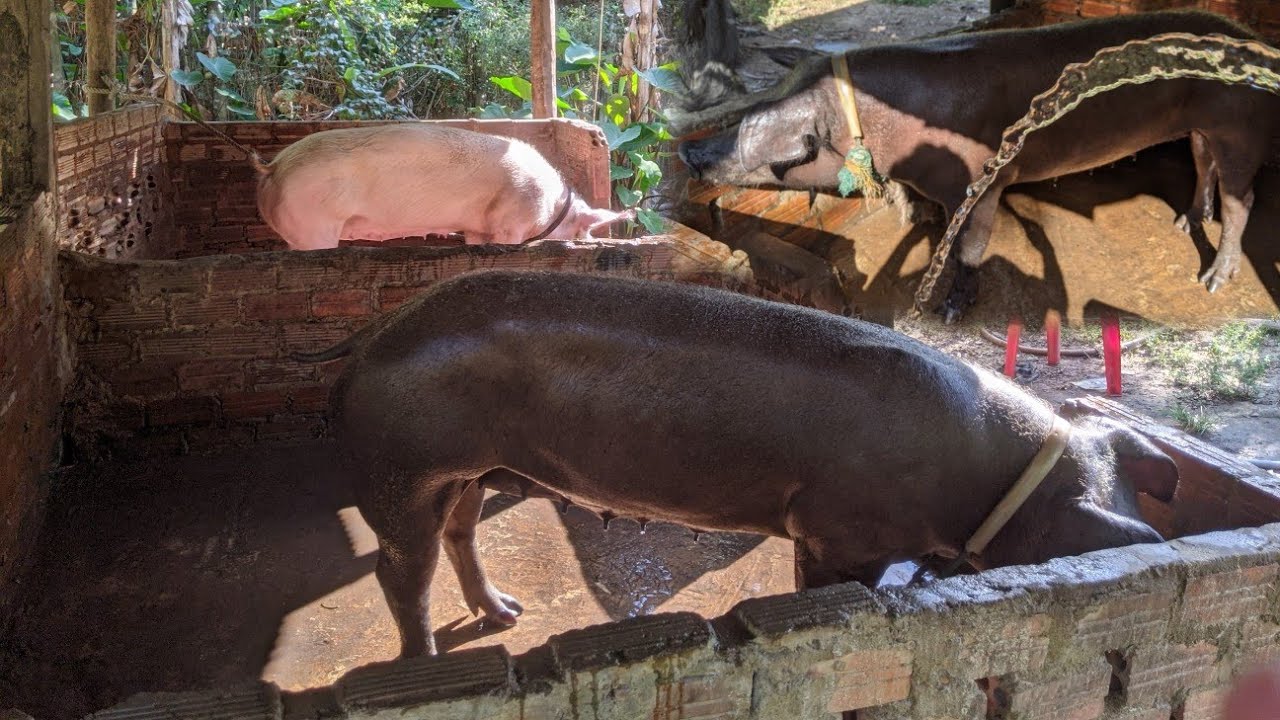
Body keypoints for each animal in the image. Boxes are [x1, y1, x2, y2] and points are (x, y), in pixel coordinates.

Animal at [254, 124, 631, 250]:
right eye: (584, 231)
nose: (591, 241)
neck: (552, 207)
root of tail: (274, 166)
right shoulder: (510, 223)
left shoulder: (479, 228)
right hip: (314, 226)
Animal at [294, 270, 1179, 657]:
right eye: (1095, 535)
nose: (1149, 540)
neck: (992, 481)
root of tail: (376, 333)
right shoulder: (832, 532)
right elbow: (827, 590)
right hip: (399, 472)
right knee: (398, 573)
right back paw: (424, 660)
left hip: (472, 472)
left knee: (461, 533)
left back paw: (506, 615)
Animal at [672, 11, 1280, 322]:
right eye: (750, 108)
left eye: (758, 139)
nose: (688, 151)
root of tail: (1255, 40)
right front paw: (919, 223)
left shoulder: (984, 181)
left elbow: (969, 246)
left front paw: (949, 311)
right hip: (1204, 126)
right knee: (1202, 161)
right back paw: (1183, 222)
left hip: (1242, 128)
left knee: (1242, 198)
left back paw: (1213, 280)